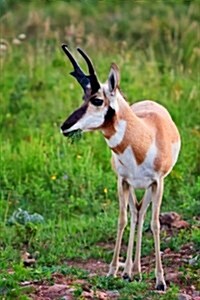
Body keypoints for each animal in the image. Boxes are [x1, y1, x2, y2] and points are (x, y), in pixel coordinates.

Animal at [60, 45, 180, 290]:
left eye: (97, 100)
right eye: (84, 97)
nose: (65, 126)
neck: (144, 138)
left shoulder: (158, 182)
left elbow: (155, 224)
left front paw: (160, 281)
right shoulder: (122, 181)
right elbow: (122, 220)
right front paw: (112, 272)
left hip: (149, 188)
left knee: (142, 214)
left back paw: (137, 272)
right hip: (133, 186)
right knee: (135, 213)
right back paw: (130, 272)